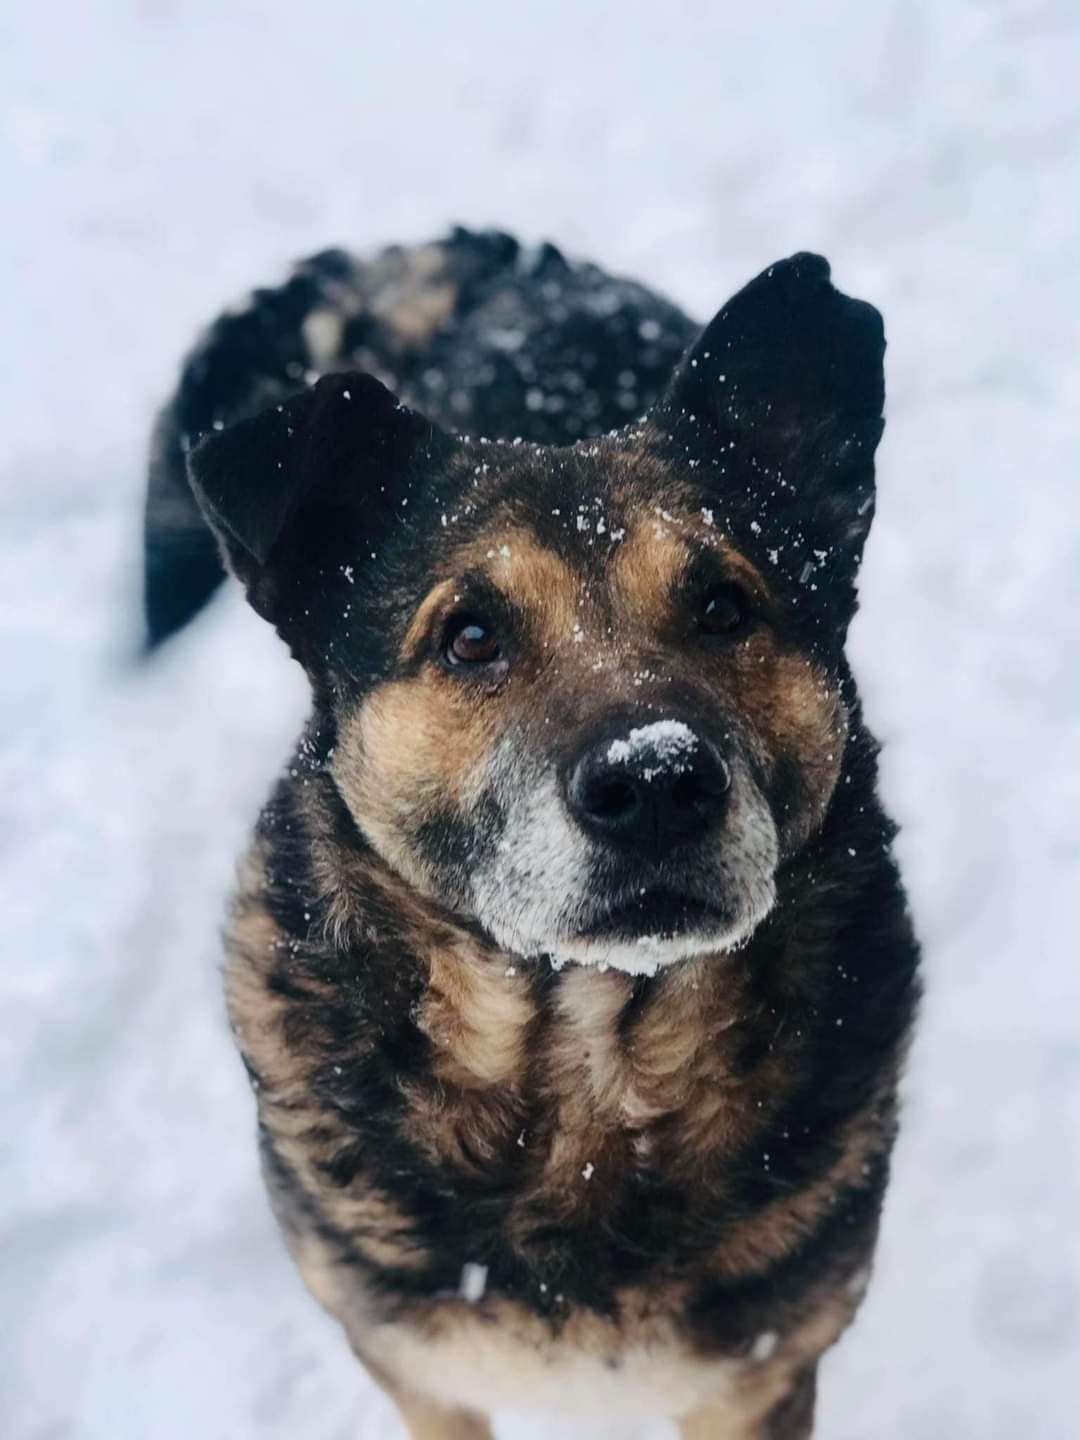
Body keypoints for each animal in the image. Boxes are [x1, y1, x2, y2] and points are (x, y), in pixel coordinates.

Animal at [144, 230, 921, 1434]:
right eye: (469, 637)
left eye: (725, 607)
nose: (655, 783)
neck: (582, 1083)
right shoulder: (417, 1369)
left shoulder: (760, 1378)